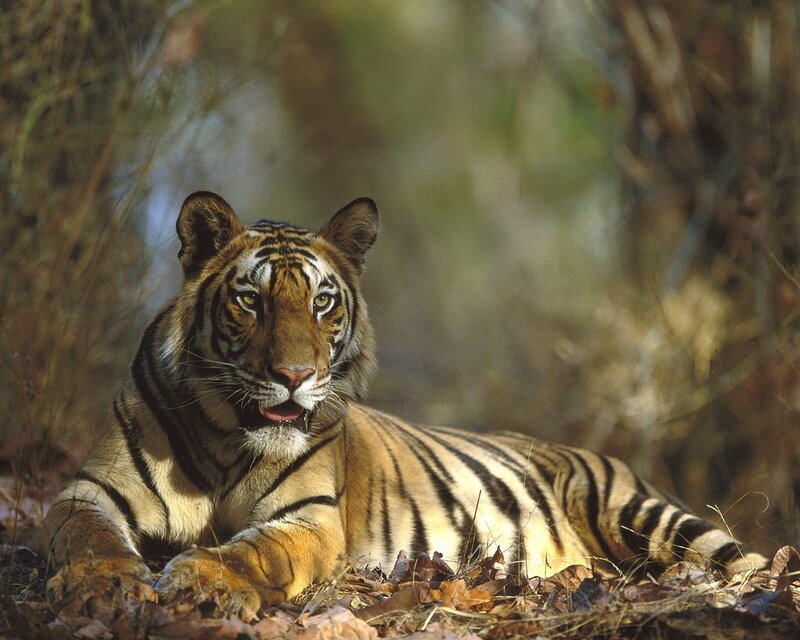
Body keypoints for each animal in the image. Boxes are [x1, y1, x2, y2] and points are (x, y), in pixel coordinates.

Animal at [44, 191, 768, 612]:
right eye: (250, 300)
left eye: (322, 301)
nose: (295, 375)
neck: (228, 435)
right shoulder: (90, 491)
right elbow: (84, 535)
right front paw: (104, 583)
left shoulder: (310, 518)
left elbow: (251, 551)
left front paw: (196, 579)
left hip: (647, 516)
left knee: (746, 564)